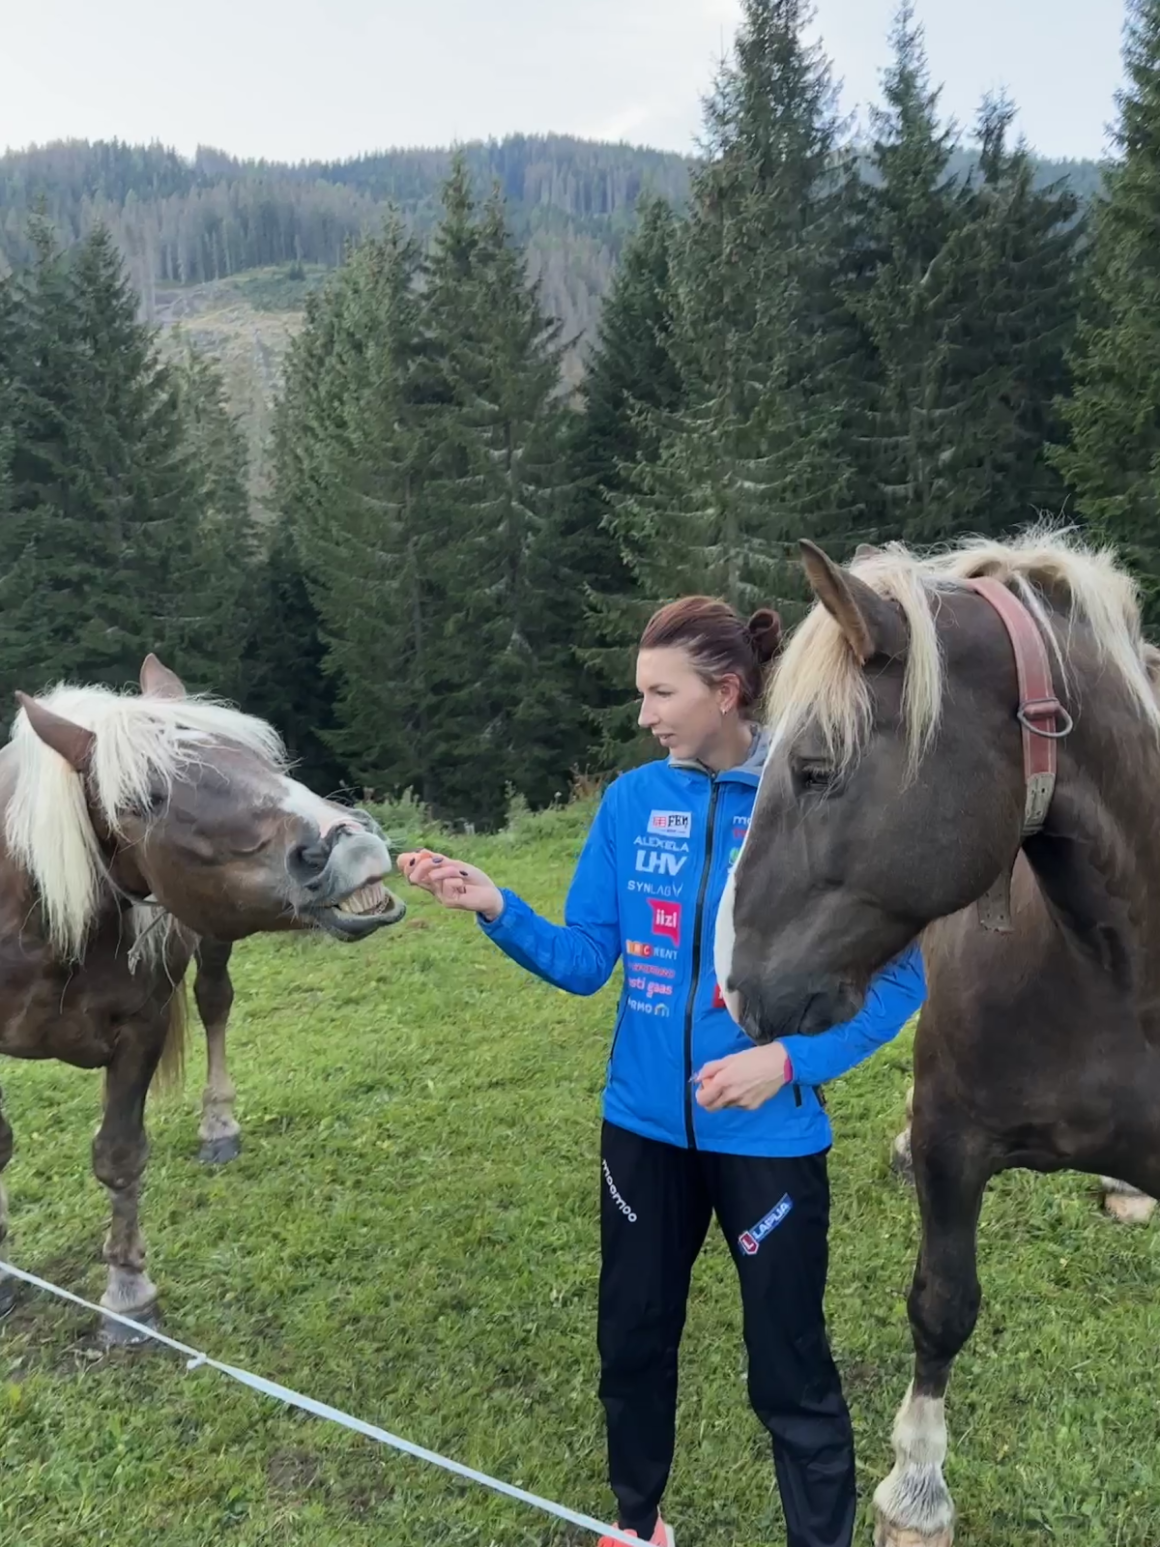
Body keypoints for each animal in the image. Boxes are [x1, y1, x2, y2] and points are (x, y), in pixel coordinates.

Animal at [0, 652, 408, 1342]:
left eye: (261, 757)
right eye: (142, 799)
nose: (349, 845)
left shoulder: (142, 1027)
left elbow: (119, 1154)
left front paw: (128, 1295)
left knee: (216, 1003)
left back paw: (219, 1126)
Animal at [717, 532, 1160, 1547]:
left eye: (814, 768)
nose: (732, 981)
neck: (1118, 973)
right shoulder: (956, 1142)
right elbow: (943, 1305)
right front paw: (916, 1488)